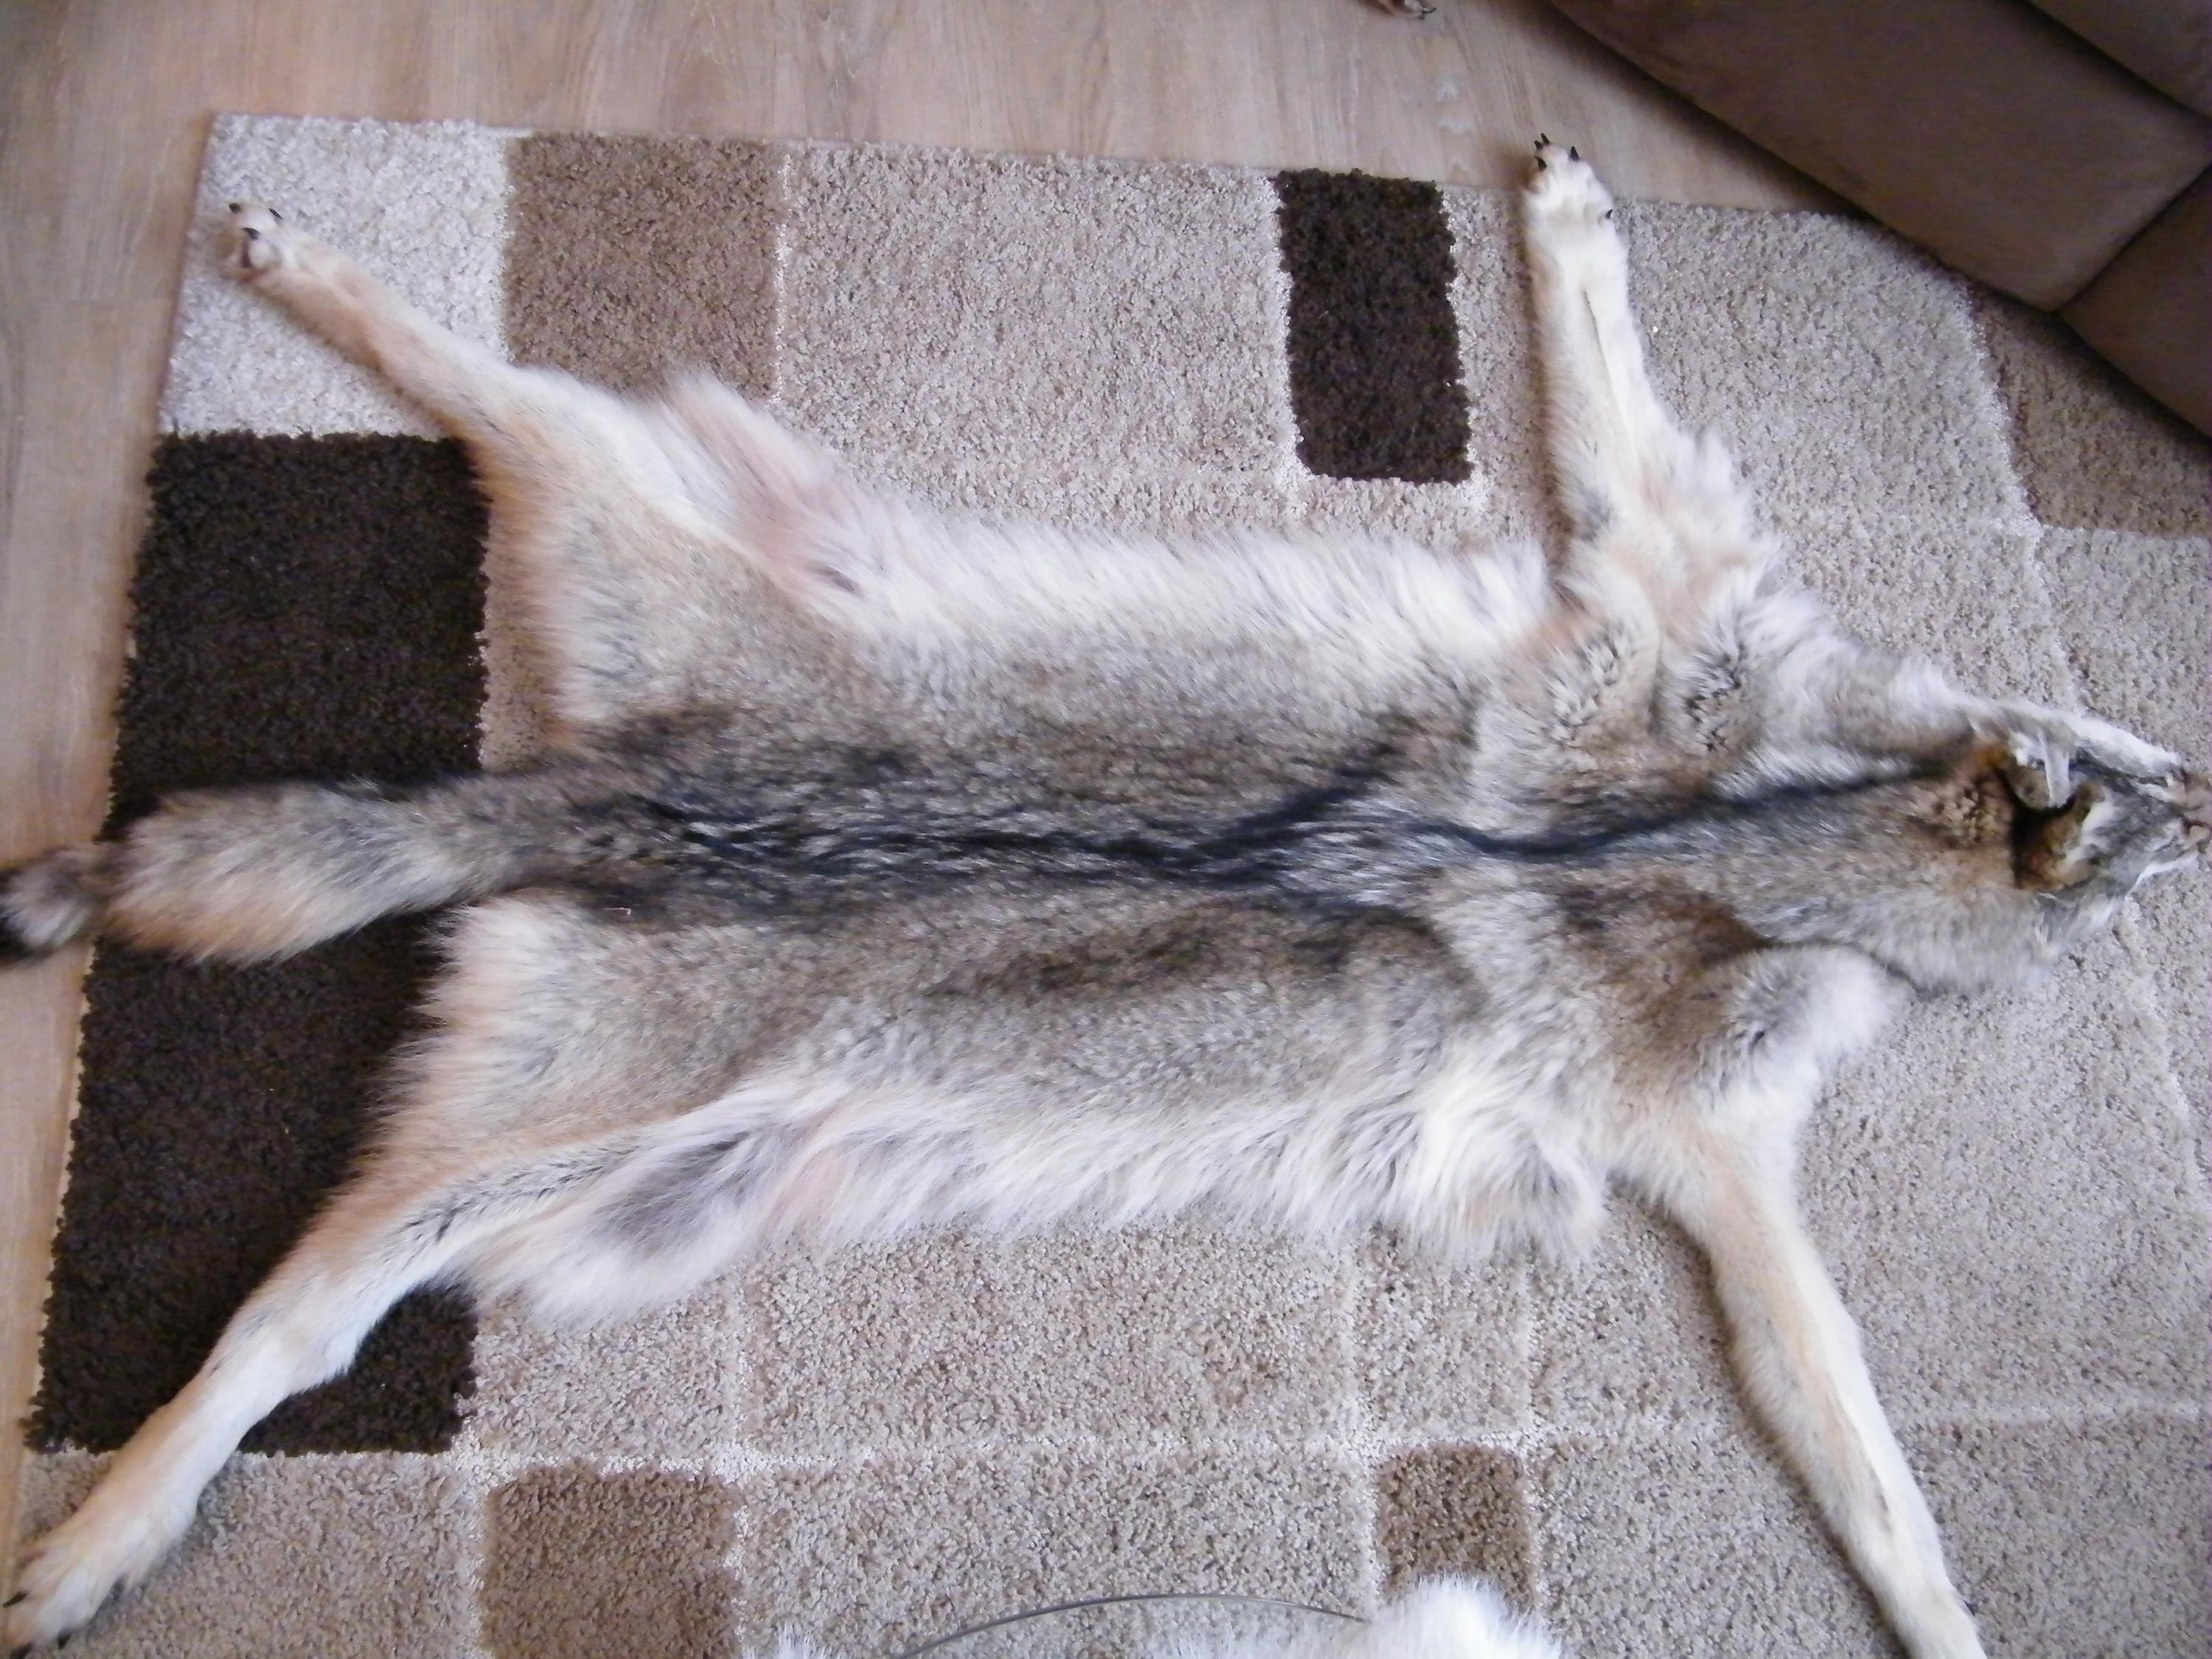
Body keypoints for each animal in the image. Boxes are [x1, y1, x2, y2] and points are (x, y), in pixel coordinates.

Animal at [2, 142, 2202, 1655]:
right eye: (2161, 803)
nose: (2205, 785)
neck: (1788, 827)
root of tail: (580, 808)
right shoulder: (1700, 909)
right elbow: (1858, 1437)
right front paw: (1947, 1619)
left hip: (574, 1061)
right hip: (592, 871)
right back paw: (111, 1526)